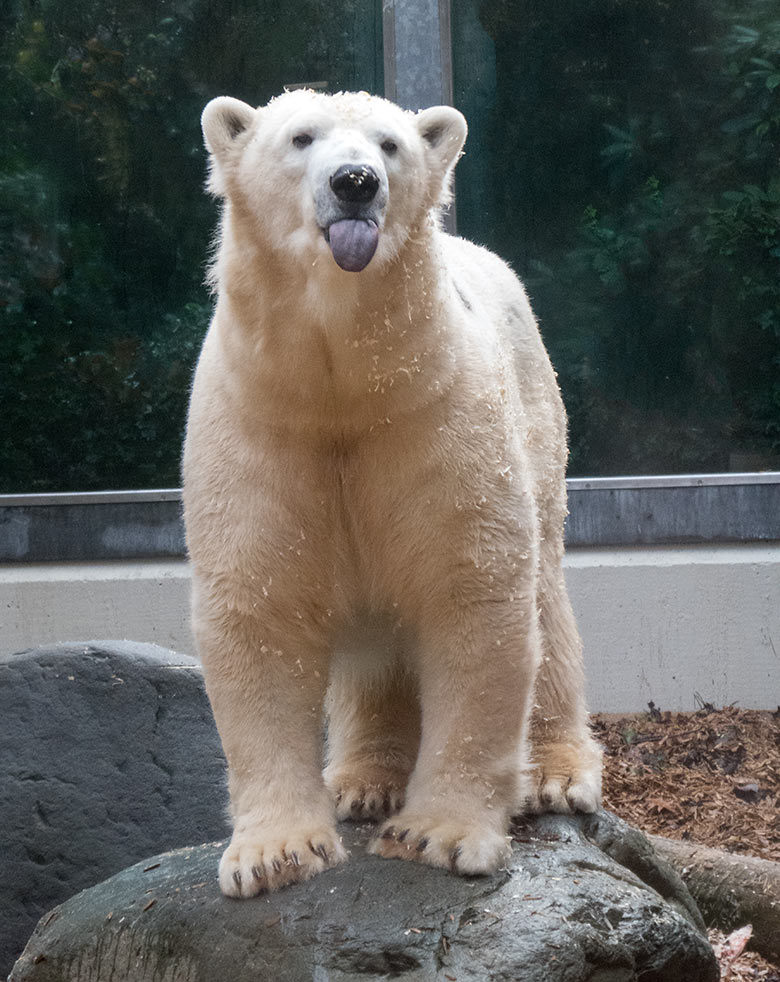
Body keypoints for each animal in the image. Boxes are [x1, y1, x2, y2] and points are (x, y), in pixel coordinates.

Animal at [183, 90, 604, 900]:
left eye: (390, 144)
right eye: (301, 137)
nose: (355, 182)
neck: (345, 391)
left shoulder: (438, 418)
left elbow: (473, 596)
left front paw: (436, 834)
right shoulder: (259, 427)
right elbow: (260, 609)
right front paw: (274, 855)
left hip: (539, 419)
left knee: (547, 596)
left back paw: (557, 773)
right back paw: (362, 780)